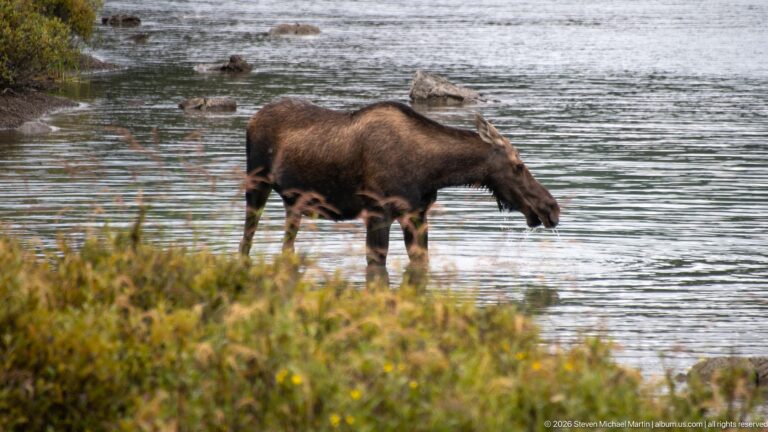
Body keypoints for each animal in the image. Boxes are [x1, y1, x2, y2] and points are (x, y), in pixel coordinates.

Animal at [240, 98, 559, 283]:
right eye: (518, 166)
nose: (552, 208)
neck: (432, 172)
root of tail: (251, 120)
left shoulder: (417, 214)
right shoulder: (378, 212)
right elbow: (377, 266)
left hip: (292, 203)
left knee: (286, 246)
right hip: (256, 184)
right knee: (246, 240)